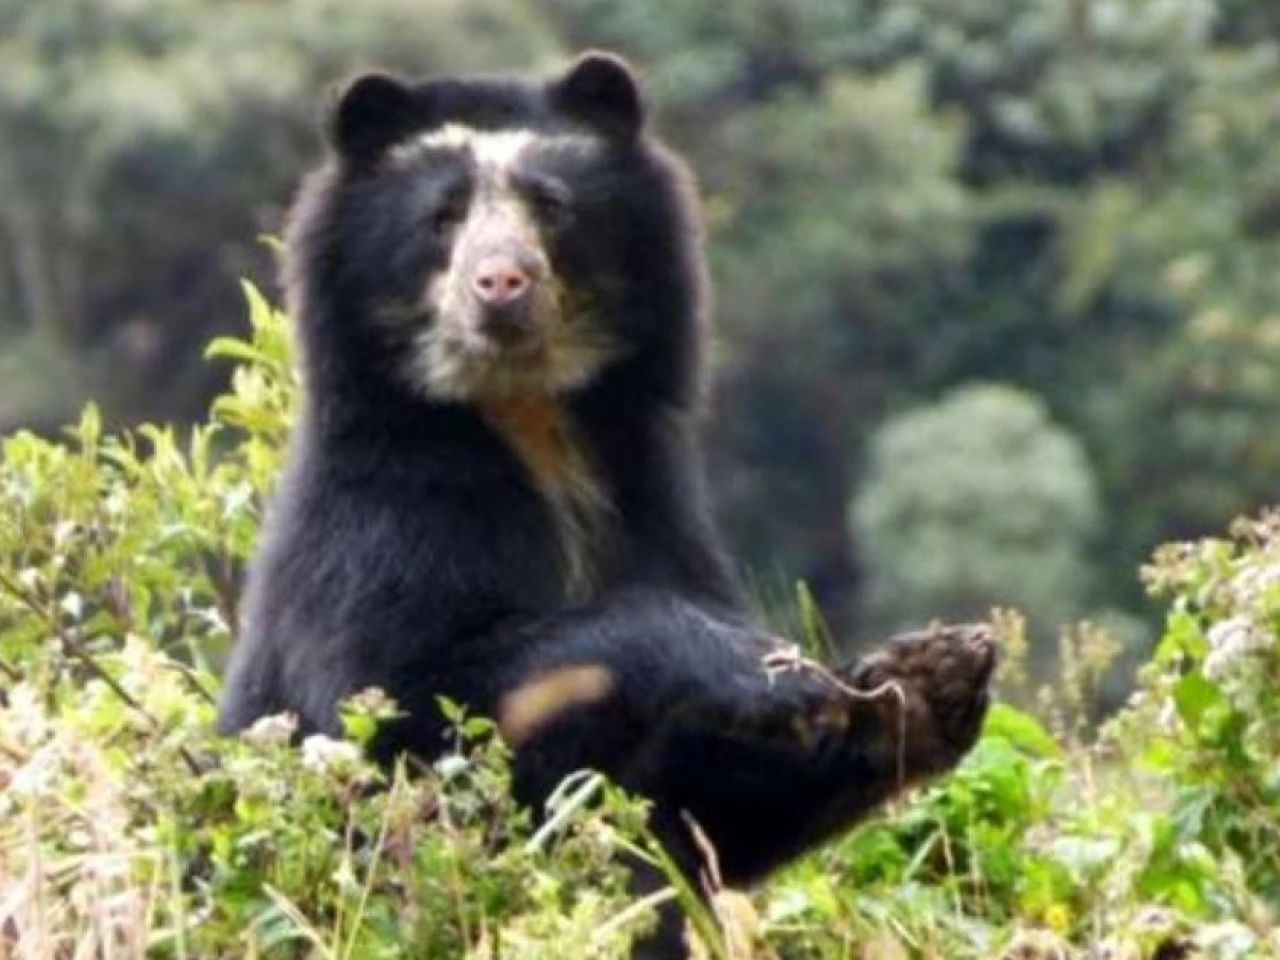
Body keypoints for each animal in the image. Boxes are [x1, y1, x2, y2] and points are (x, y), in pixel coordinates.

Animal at [217, 51, 996, 956]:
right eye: (442, 217)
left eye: (551, 205)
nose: (501, 284)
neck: (528, 418)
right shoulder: (379, 528)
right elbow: (401, 715)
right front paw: (757, 666)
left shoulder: (653, 503)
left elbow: (714, 812)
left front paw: (927, 675)